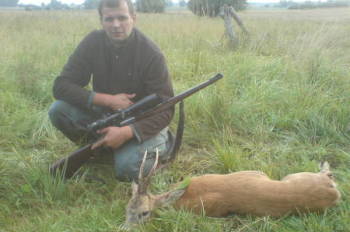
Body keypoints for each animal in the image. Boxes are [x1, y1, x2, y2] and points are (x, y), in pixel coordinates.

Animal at [124, 151, 340, 227]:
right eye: (127, 209)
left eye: (145, 213)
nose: (125, 228)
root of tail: (333, 192)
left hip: (294, 175)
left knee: (328, 173)